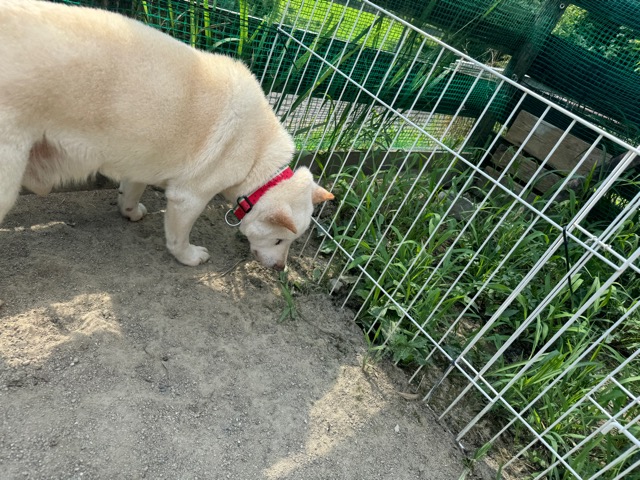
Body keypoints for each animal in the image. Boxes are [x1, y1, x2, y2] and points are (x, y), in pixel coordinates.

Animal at [0, 0, 334, 270]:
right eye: (279, 241)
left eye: (290, 243)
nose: (280, 268)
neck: (259, 159)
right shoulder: (189, 198)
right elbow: (178, 238)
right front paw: (189, 257)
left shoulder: (139, 164)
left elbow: (130, 193)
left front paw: (130, 212)